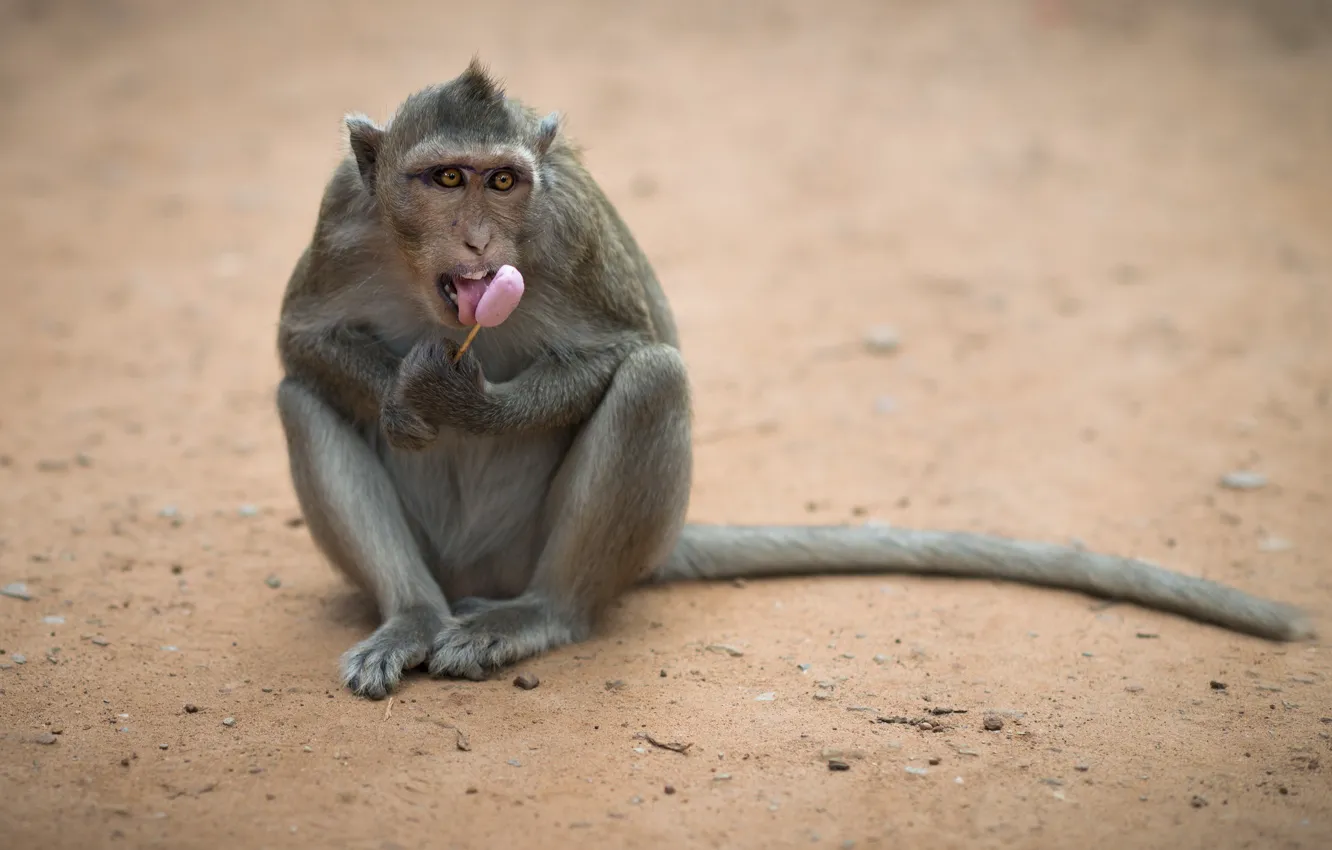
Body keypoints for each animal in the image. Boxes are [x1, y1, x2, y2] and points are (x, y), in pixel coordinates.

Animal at [273, 59, 1314, 700]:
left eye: (501, 182)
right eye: (444, 179)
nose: (482, 244)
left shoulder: (568, 228)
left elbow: (632, 345)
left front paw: (455, 399)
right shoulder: (339, 210)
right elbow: (301, 342)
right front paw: (405, 396)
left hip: (532, 552)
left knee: (653, 384)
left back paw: (540, 615)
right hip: (448, 560)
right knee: (301, 400)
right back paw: (410, 618)